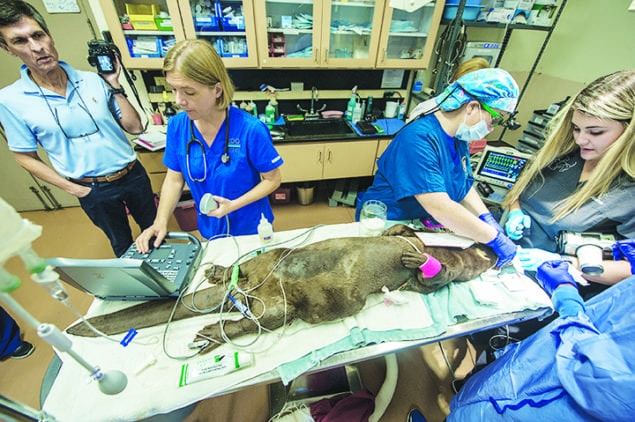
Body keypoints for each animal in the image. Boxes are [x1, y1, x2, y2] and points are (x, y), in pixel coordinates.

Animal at [67, 224, 500, 352]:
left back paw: (210, 332)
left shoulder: (440, 270)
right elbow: (403, 231)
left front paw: (418, 262)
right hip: (271, 264)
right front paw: (410, 253)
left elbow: (431, 280)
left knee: (259, 317)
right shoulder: (418, 237)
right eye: (484, 252)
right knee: (249, 277)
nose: (492, 253)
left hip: (278, 306)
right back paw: (219, 275)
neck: (442, 248)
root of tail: (241, 295)